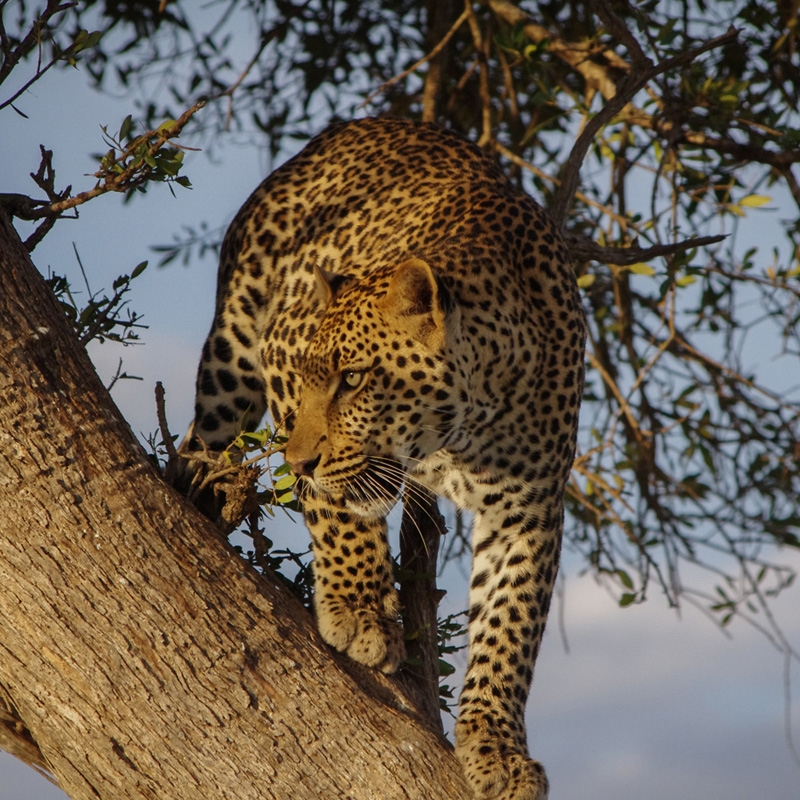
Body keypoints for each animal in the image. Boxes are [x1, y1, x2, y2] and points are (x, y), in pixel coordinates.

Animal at [186, 115, 588, 796]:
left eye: (352, 380)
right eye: (313, 377)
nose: (297, 462)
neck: (464, 427)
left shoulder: (528, 509)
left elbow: (510, 628)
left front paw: (497, 749)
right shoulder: (281, 348)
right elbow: (338, 511)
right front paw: (359, 611)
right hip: (234, 354)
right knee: (199, 441)